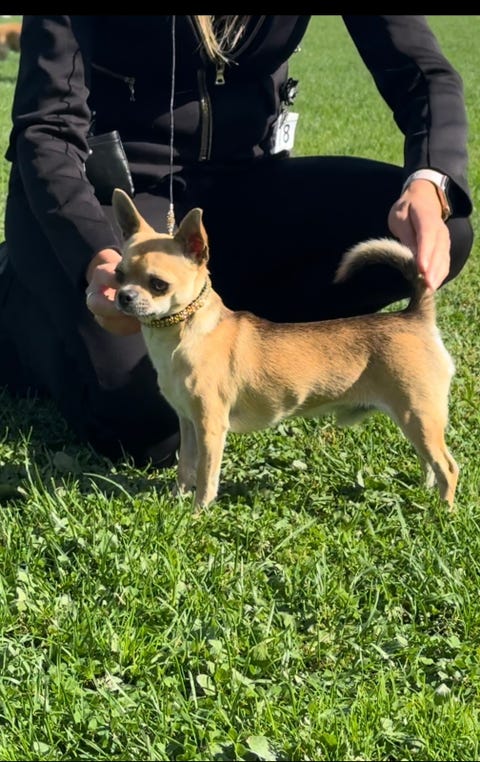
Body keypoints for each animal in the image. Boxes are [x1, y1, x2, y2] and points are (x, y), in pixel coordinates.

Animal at [111, 188, 458, 509]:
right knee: (429, 462)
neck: (184, 334)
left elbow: (206, 475)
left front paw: (198, 511)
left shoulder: (210, 427)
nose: (123, 296)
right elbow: (186, 467)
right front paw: (176, 501)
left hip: (418, 414)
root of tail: (414, 314)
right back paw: (425, 492)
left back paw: (442, 511)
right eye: (118, 275)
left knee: (448, 466)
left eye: (158, 284)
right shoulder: (188, 423)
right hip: (415, 419)